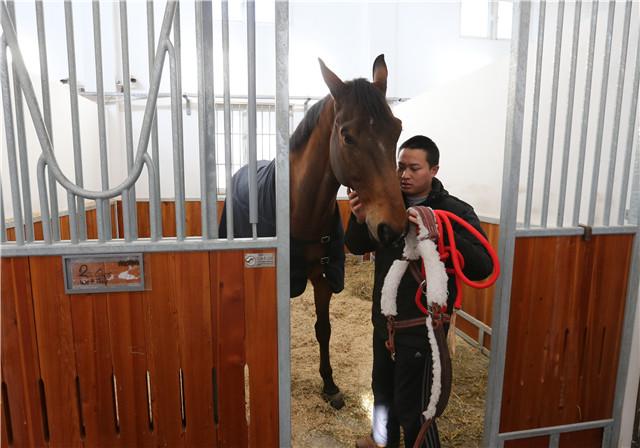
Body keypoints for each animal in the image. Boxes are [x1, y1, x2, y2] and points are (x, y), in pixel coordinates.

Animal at [220, 54, 404, 408]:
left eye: (397, 129)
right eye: (347, 136)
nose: (394, 227)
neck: (300, 210)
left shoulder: (323, 276)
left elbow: (323, 328)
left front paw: (329, 384)